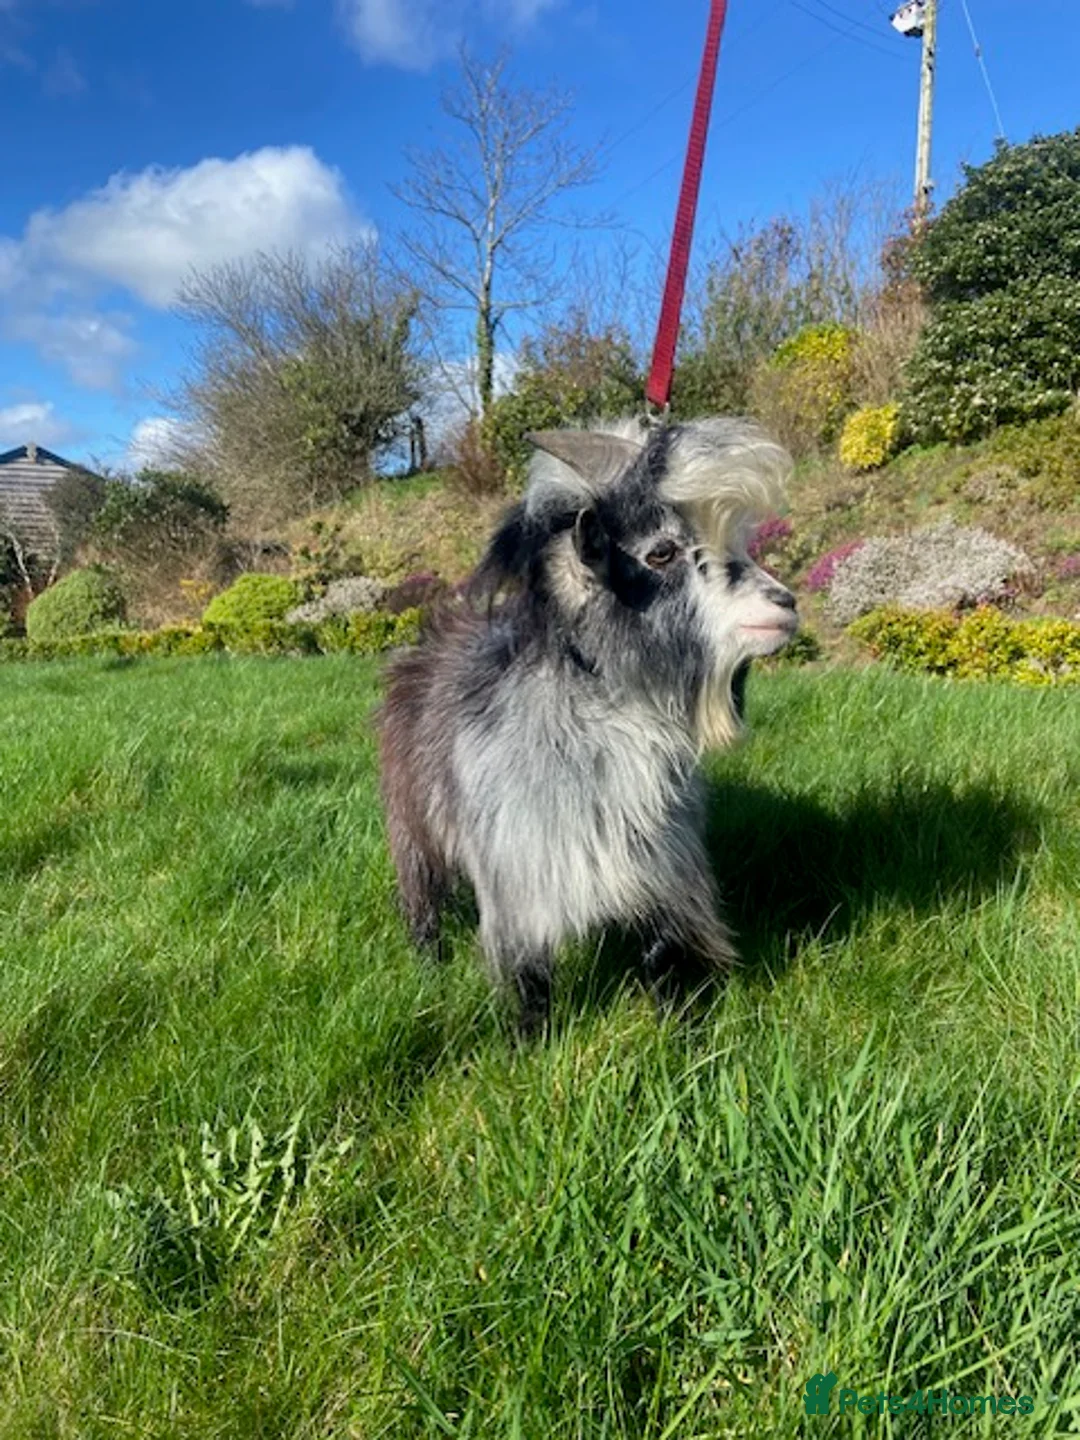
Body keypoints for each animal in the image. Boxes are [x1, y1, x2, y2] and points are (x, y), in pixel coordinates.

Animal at [378, 417, 797, 1034]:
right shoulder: (518, 874)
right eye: (662, 552)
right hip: (412, 827)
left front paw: (675, 1027)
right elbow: (530, 976)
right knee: (422, 898)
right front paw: (531, 1042)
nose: (785, 604)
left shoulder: (659, 868)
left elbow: (663, 952)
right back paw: (429, 963)